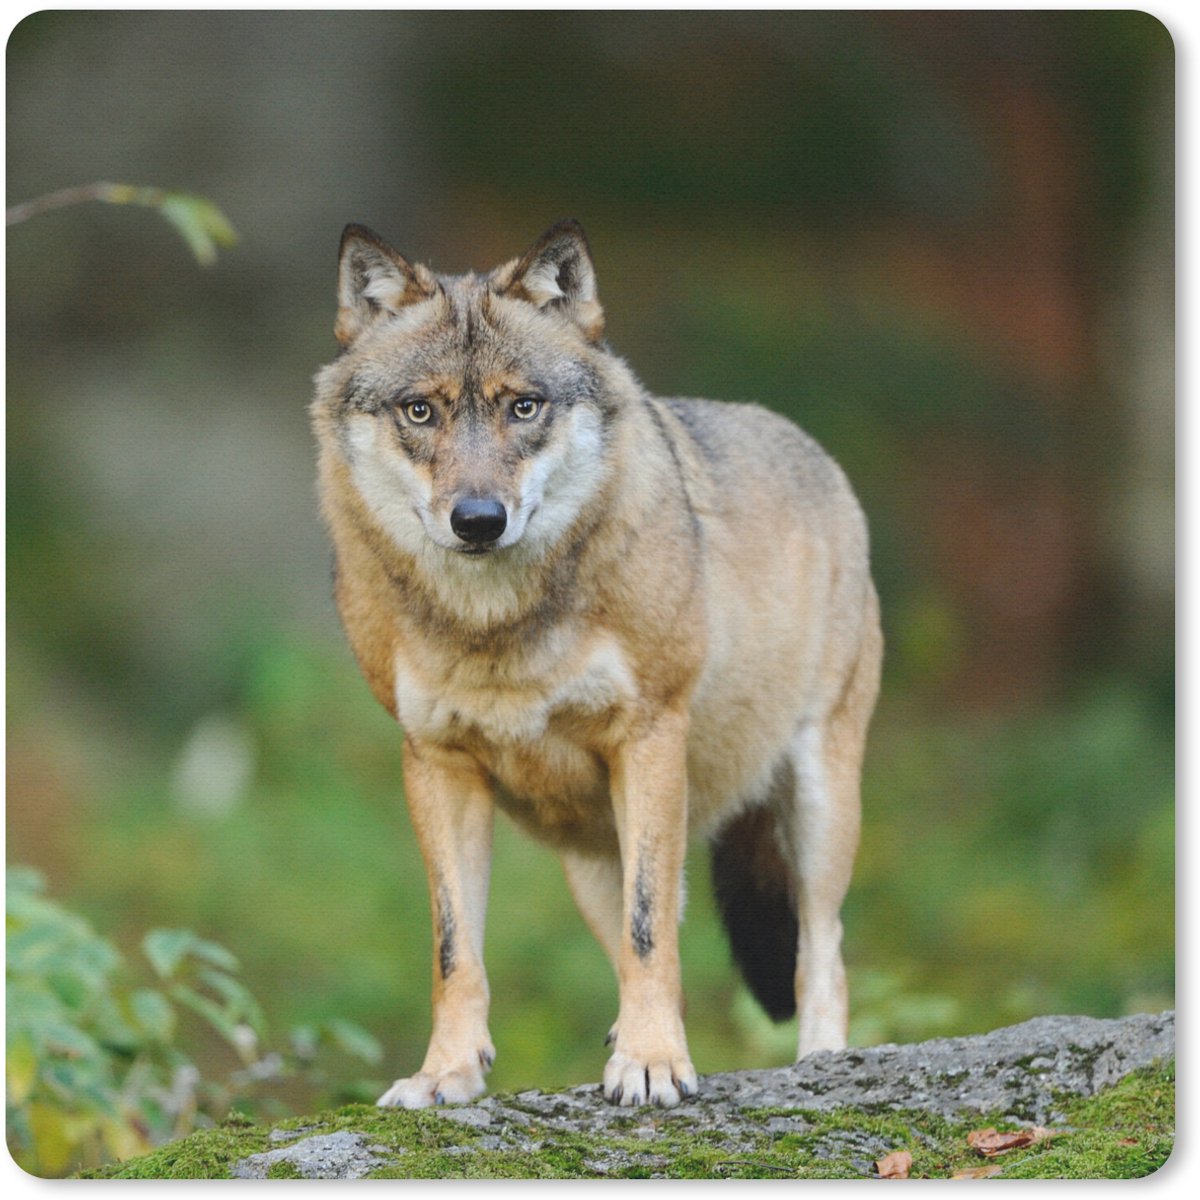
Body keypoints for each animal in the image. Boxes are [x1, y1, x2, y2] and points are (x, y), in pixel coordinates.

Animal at [311, 219, 882, 1109]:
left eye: (524, 405)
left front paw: (651, 1064)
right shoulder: (435, 764)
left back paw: (817, 1063)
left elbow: (652, 936)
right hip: (589, 859)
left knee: (820, 946)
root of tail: (813, 449)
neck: (497, 631)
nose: (479, 520)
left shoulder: (648, 736)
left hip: (818, 803)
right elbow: (455, 950)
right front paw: (445, 1074)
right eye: (420, 410)